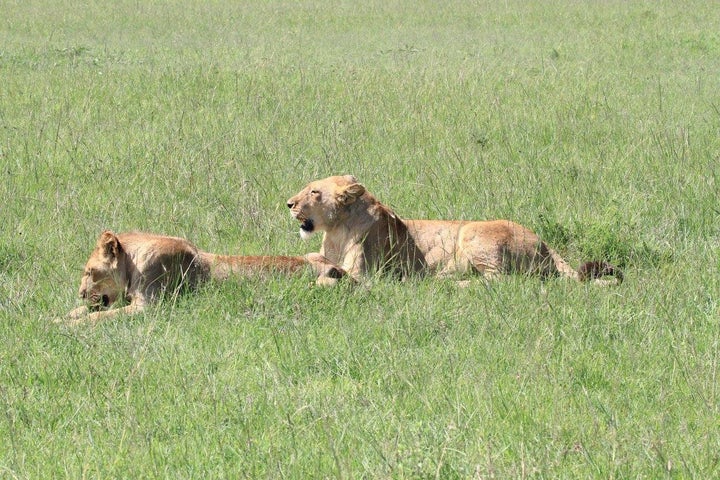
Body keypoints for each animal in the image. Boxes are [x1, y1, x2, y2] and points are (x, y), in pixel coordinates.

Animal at [64, 231, 346, 324]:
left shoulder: (149, 307)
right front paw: (60, 318)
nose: (80, 293)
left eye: (89, 272)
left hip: (325, 282)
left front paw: (72, 326)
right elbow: (84, 312)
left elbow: (98, 316)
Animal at [284, 176, 620, 284]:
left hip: (471, 233)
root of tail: (544, 242)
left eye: (314, 192)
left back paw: (455, 283)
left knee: (502, 281)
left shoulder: (364, 272)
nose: (288, 203)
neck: (337, 228)